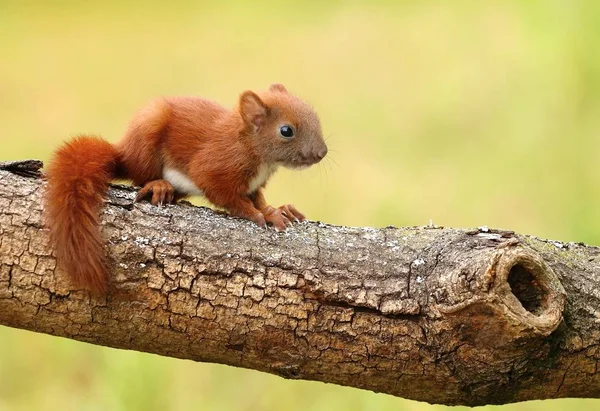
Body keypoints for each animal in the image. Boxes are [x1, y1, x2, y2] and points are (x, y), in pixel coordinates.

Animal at [45, 83, 328, 294]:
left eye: (315, 117)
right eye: (286, 130)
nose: (322, 153)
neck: (259, 157)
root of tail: (123, 152)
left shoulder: (254, 184)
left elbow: (258, 198)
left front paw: (278, 210)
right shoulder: (214, 167)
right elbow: (229, 197)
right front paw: (257, 215)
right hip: (148, 133)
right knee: (140, 177)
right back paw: (158, 185)